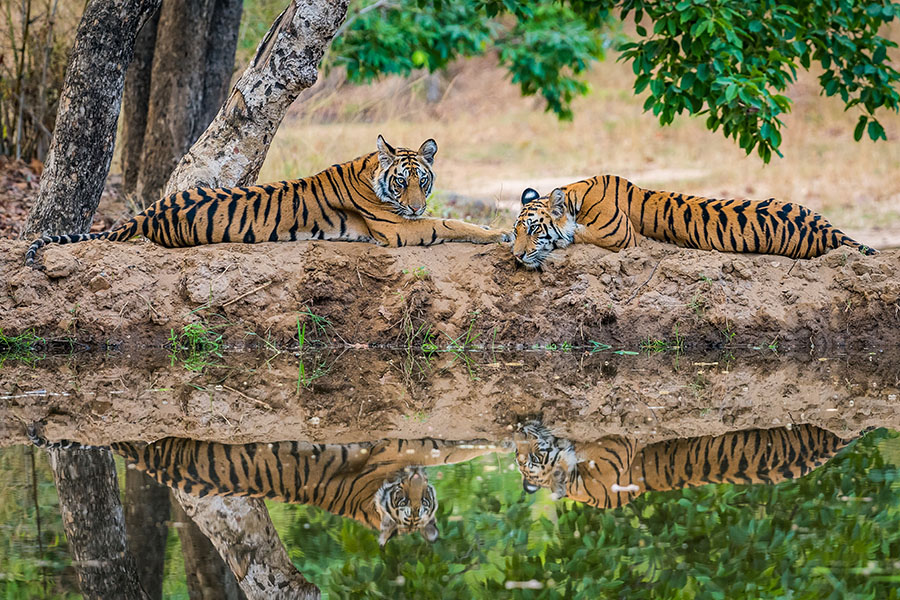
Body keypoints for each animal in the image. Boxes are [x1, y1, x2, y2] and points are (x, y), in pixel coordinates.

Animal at [25, 135, 510, 266]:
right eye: (403, 181)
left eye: (423, 181)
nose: (415, 206)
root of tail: (149, 212)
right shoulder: (395, 229)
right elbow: (450, 223)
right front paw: (501, 233)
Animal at [27, 427, 501, 546]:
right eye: (406, 503)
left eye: (425, 504)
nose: (418, 483)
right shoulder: (401, 446)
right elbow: (459, 448)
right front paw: (503, 444)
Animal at [511, 175, 876, 268]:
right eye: (516, 231)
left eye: (534, 229)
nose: (516, 256)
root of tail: (830, 230)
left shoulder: (619, 237)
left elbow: (576, 236)